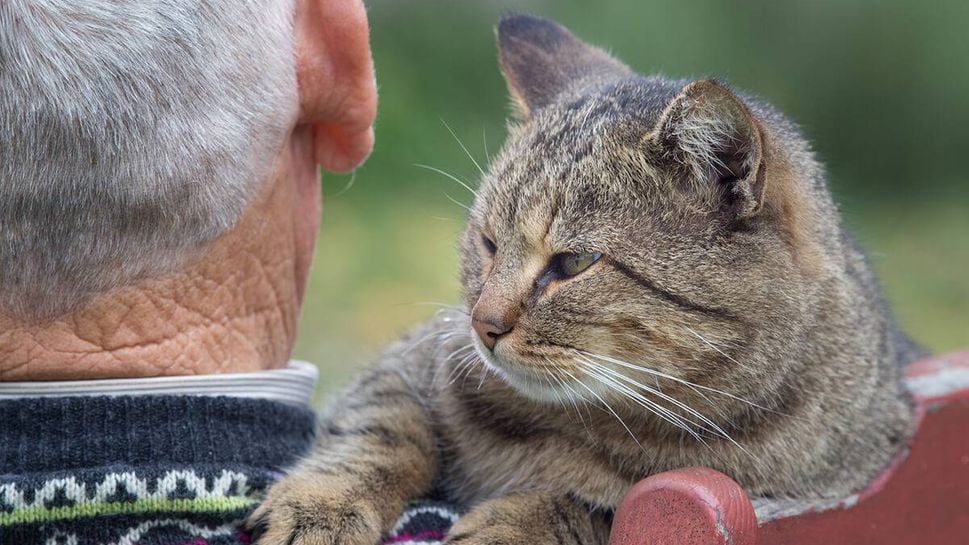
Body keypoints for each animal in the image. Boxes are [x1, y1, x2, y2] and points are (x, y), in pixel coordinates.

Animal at [246, 14, 920, 540]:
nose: (482, 325)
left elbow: (604, 507)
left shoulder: (772, 497)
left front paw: (521, 518)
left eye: (572, 264)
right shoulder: (415, 359)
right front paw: (322, 504)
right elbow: (377, 429)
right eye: (488, 243)